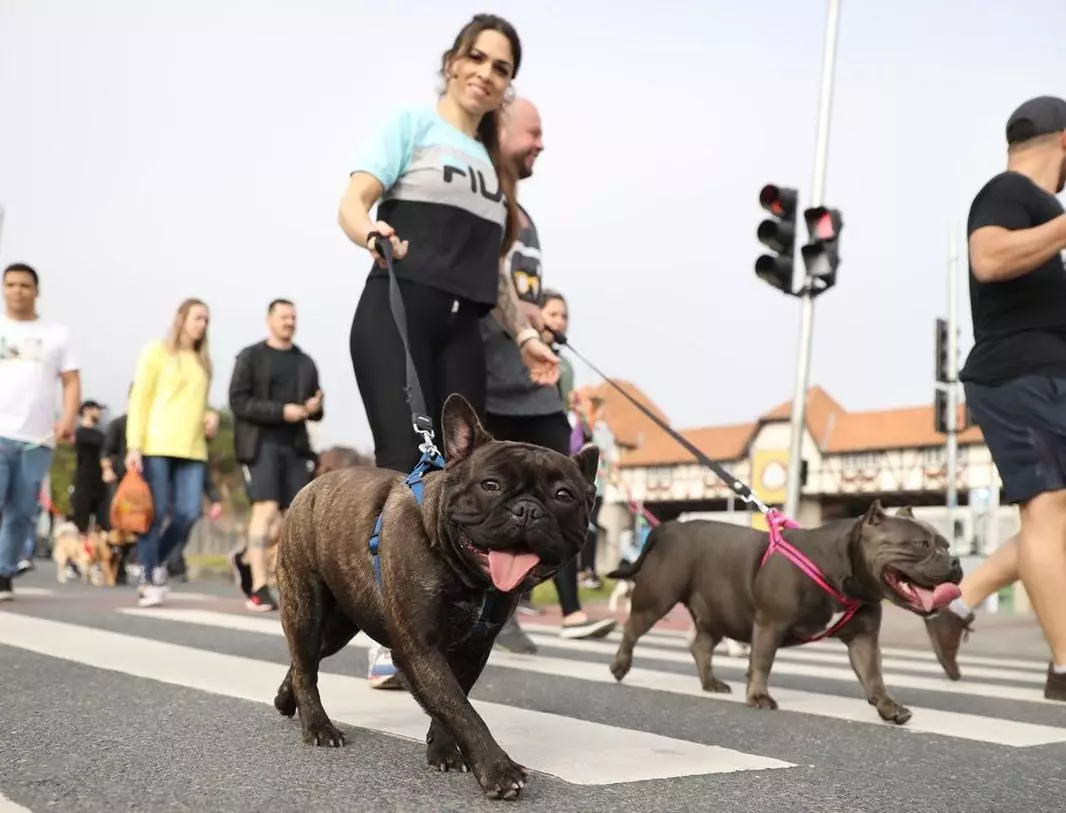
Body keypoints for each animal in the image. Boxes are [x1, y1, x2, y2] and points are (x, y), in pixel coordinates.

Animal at [270, 394, 601, 801]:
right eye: (490, 485)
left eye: (563, 496)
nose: (527, 509)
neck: (468, 576)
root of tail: (313, 486)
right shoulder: (421, 651)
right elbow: (462, 710)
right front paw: (498, 770)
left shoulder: (472, 650)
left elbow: (454, 703)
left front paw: (444, 751)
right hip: (307, 607)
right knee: (305, 664)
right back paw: (318, 726)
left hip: (340, 625)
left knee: (306, 660)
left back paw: (287, 699)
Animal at [609, 502, 967, 724]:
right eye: (921, 545)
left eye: (947, 544)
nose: (956, 561)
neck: (842, 569)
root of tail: (670, 528)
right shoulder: (770, 624)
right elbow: (762, 661)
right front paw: (758, 696)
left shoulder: (864, 640)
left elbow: (873, 676)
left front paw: (889, 707)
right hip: (658, 597)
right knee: (632, 627)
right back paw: (620, 666)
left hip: (717, 609)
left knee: (701, 645)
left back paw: (711, 682)